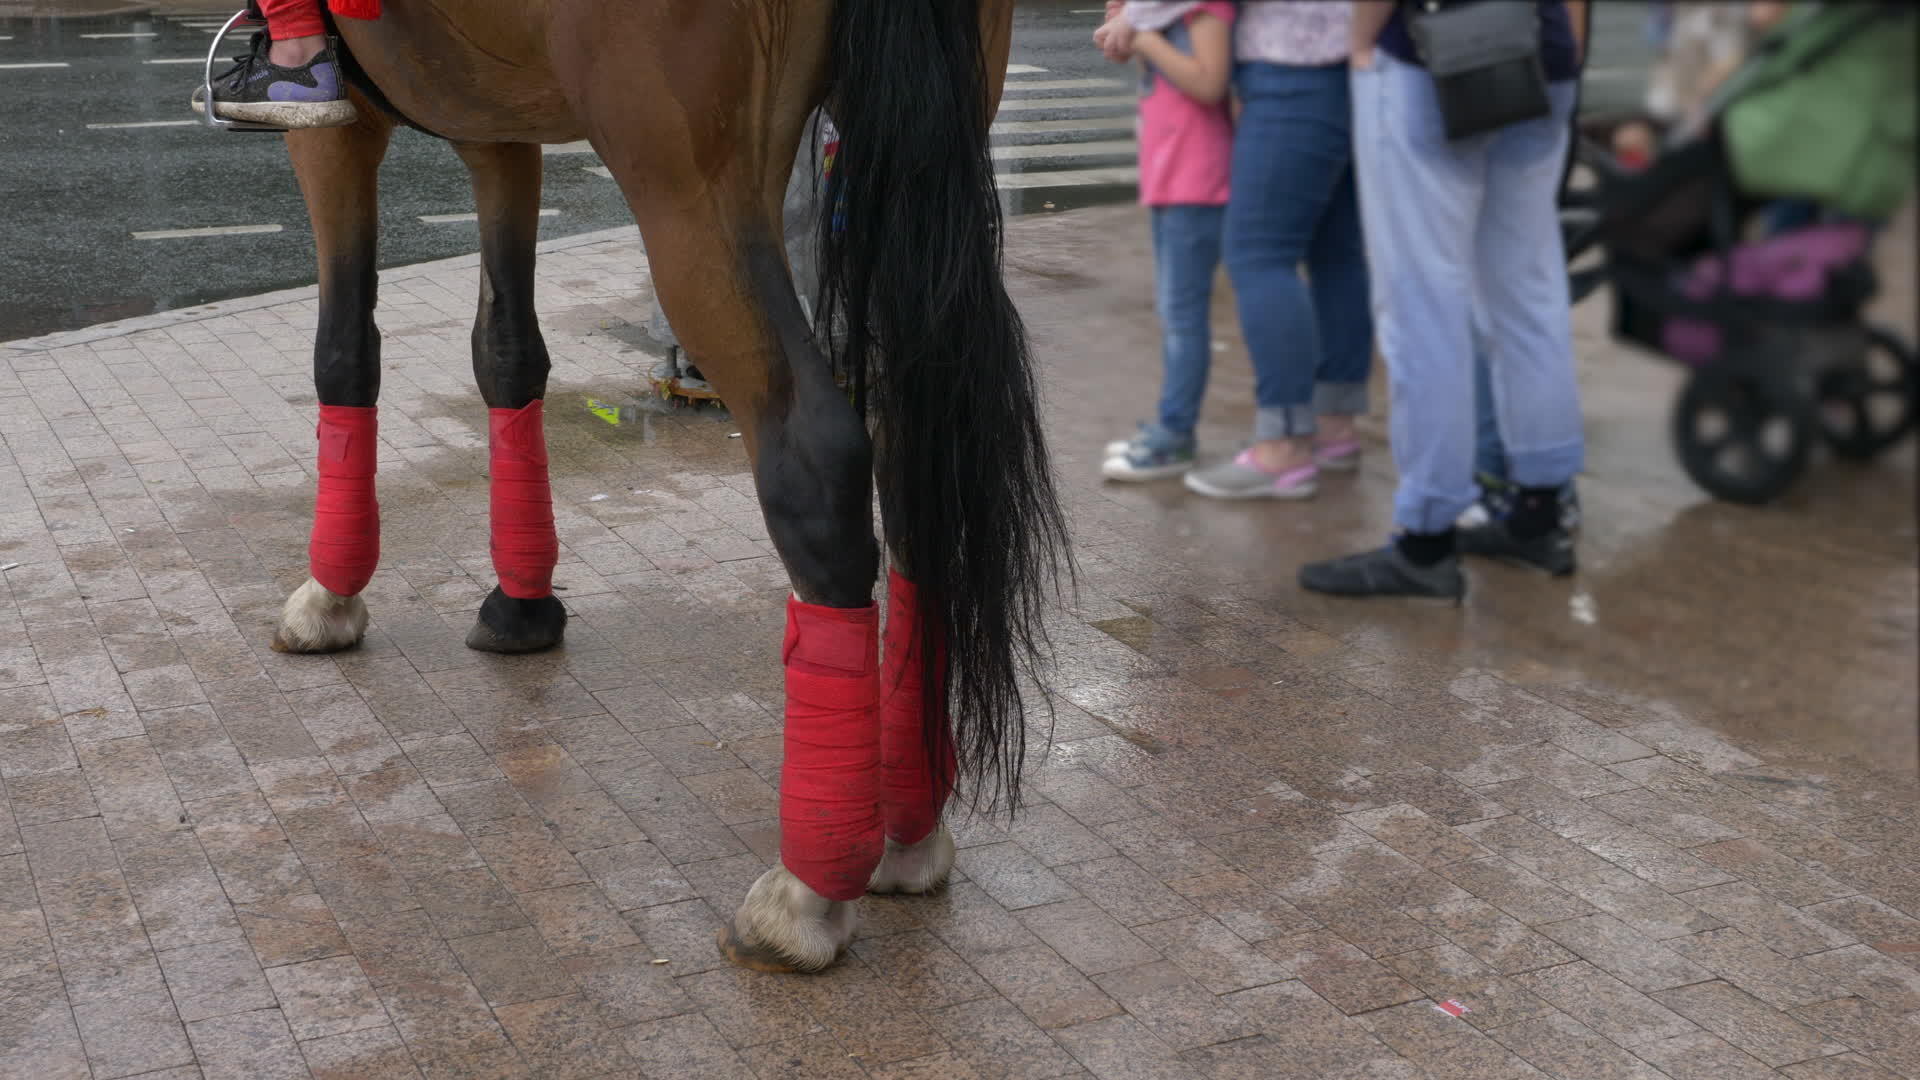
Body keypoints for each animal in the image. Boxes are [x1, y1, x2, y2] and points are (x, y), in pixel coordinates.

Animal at [270, 0, 1075, 972]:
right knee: (916, 461)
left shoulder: (337, 130)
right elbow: (507, 350)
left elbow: (345, 349)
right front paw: (522, 603)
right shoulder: (499, 129)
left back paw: (811, 887)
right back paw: (907, 828)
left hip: (695, 191)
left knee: (817, 459)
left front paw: (331, 596)